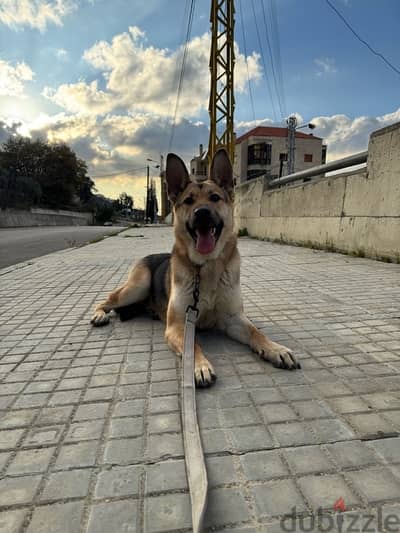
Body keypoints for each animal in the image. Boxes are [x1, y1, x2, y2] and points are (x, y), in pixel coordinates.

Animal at [90, 148, 296, 384]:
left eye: (214, 198)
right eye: (188, 201)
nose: (202, 212)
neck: (206, 268)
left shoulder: (233, 319)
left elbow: (256, 333)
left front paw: (275, 349)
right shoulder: (179, 326)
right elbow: (193, 346)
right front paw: (200, 366)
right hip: (137, 286)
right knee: (107, 299)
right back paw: (99, 315)